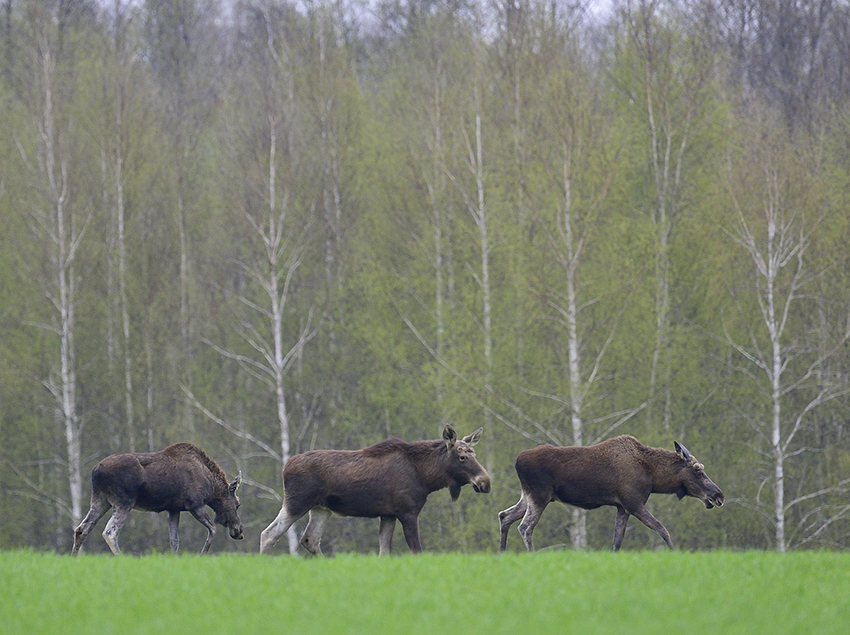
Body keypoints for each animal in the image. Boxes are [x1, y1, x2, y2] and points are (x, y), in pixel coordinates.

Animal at [71, 442, 243, 556]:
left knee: (81, 528)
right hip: (124, 502)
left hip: (100, 501)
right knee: (110, 532)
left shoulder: (174, 509)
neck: (212, 487)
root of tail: (96, 471)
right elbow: (212, 529)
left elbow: (174, 541)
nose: (239, 531)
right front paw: (202, 555)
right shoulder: (195, 504)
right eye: (237, 504)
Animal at [258, 428, 490, 556]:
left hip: (321, 508)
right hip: (296, 502)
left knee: (310, 539)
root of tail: (285, 466)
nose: (485, 482)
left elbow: (384, 552)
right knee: (268, 534)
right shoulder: (407, 511)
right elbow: (416, 550)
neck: (426, 477)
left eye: (475, 453)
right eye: (462, 457)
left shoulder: (388, 514)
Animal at [496, 438, 724, 552]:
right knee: (525, 527)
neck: (654, 476)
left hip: (529, 496)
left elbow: (617, 540)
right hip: (540, 495)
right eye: (697, 470)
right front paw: (674, 553)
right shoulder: (633, 502)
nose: (718, 495)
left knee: (504, 516)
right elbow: (662, 530)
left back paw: (502, 552)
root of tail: (517, 460)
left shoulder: (622, 506)